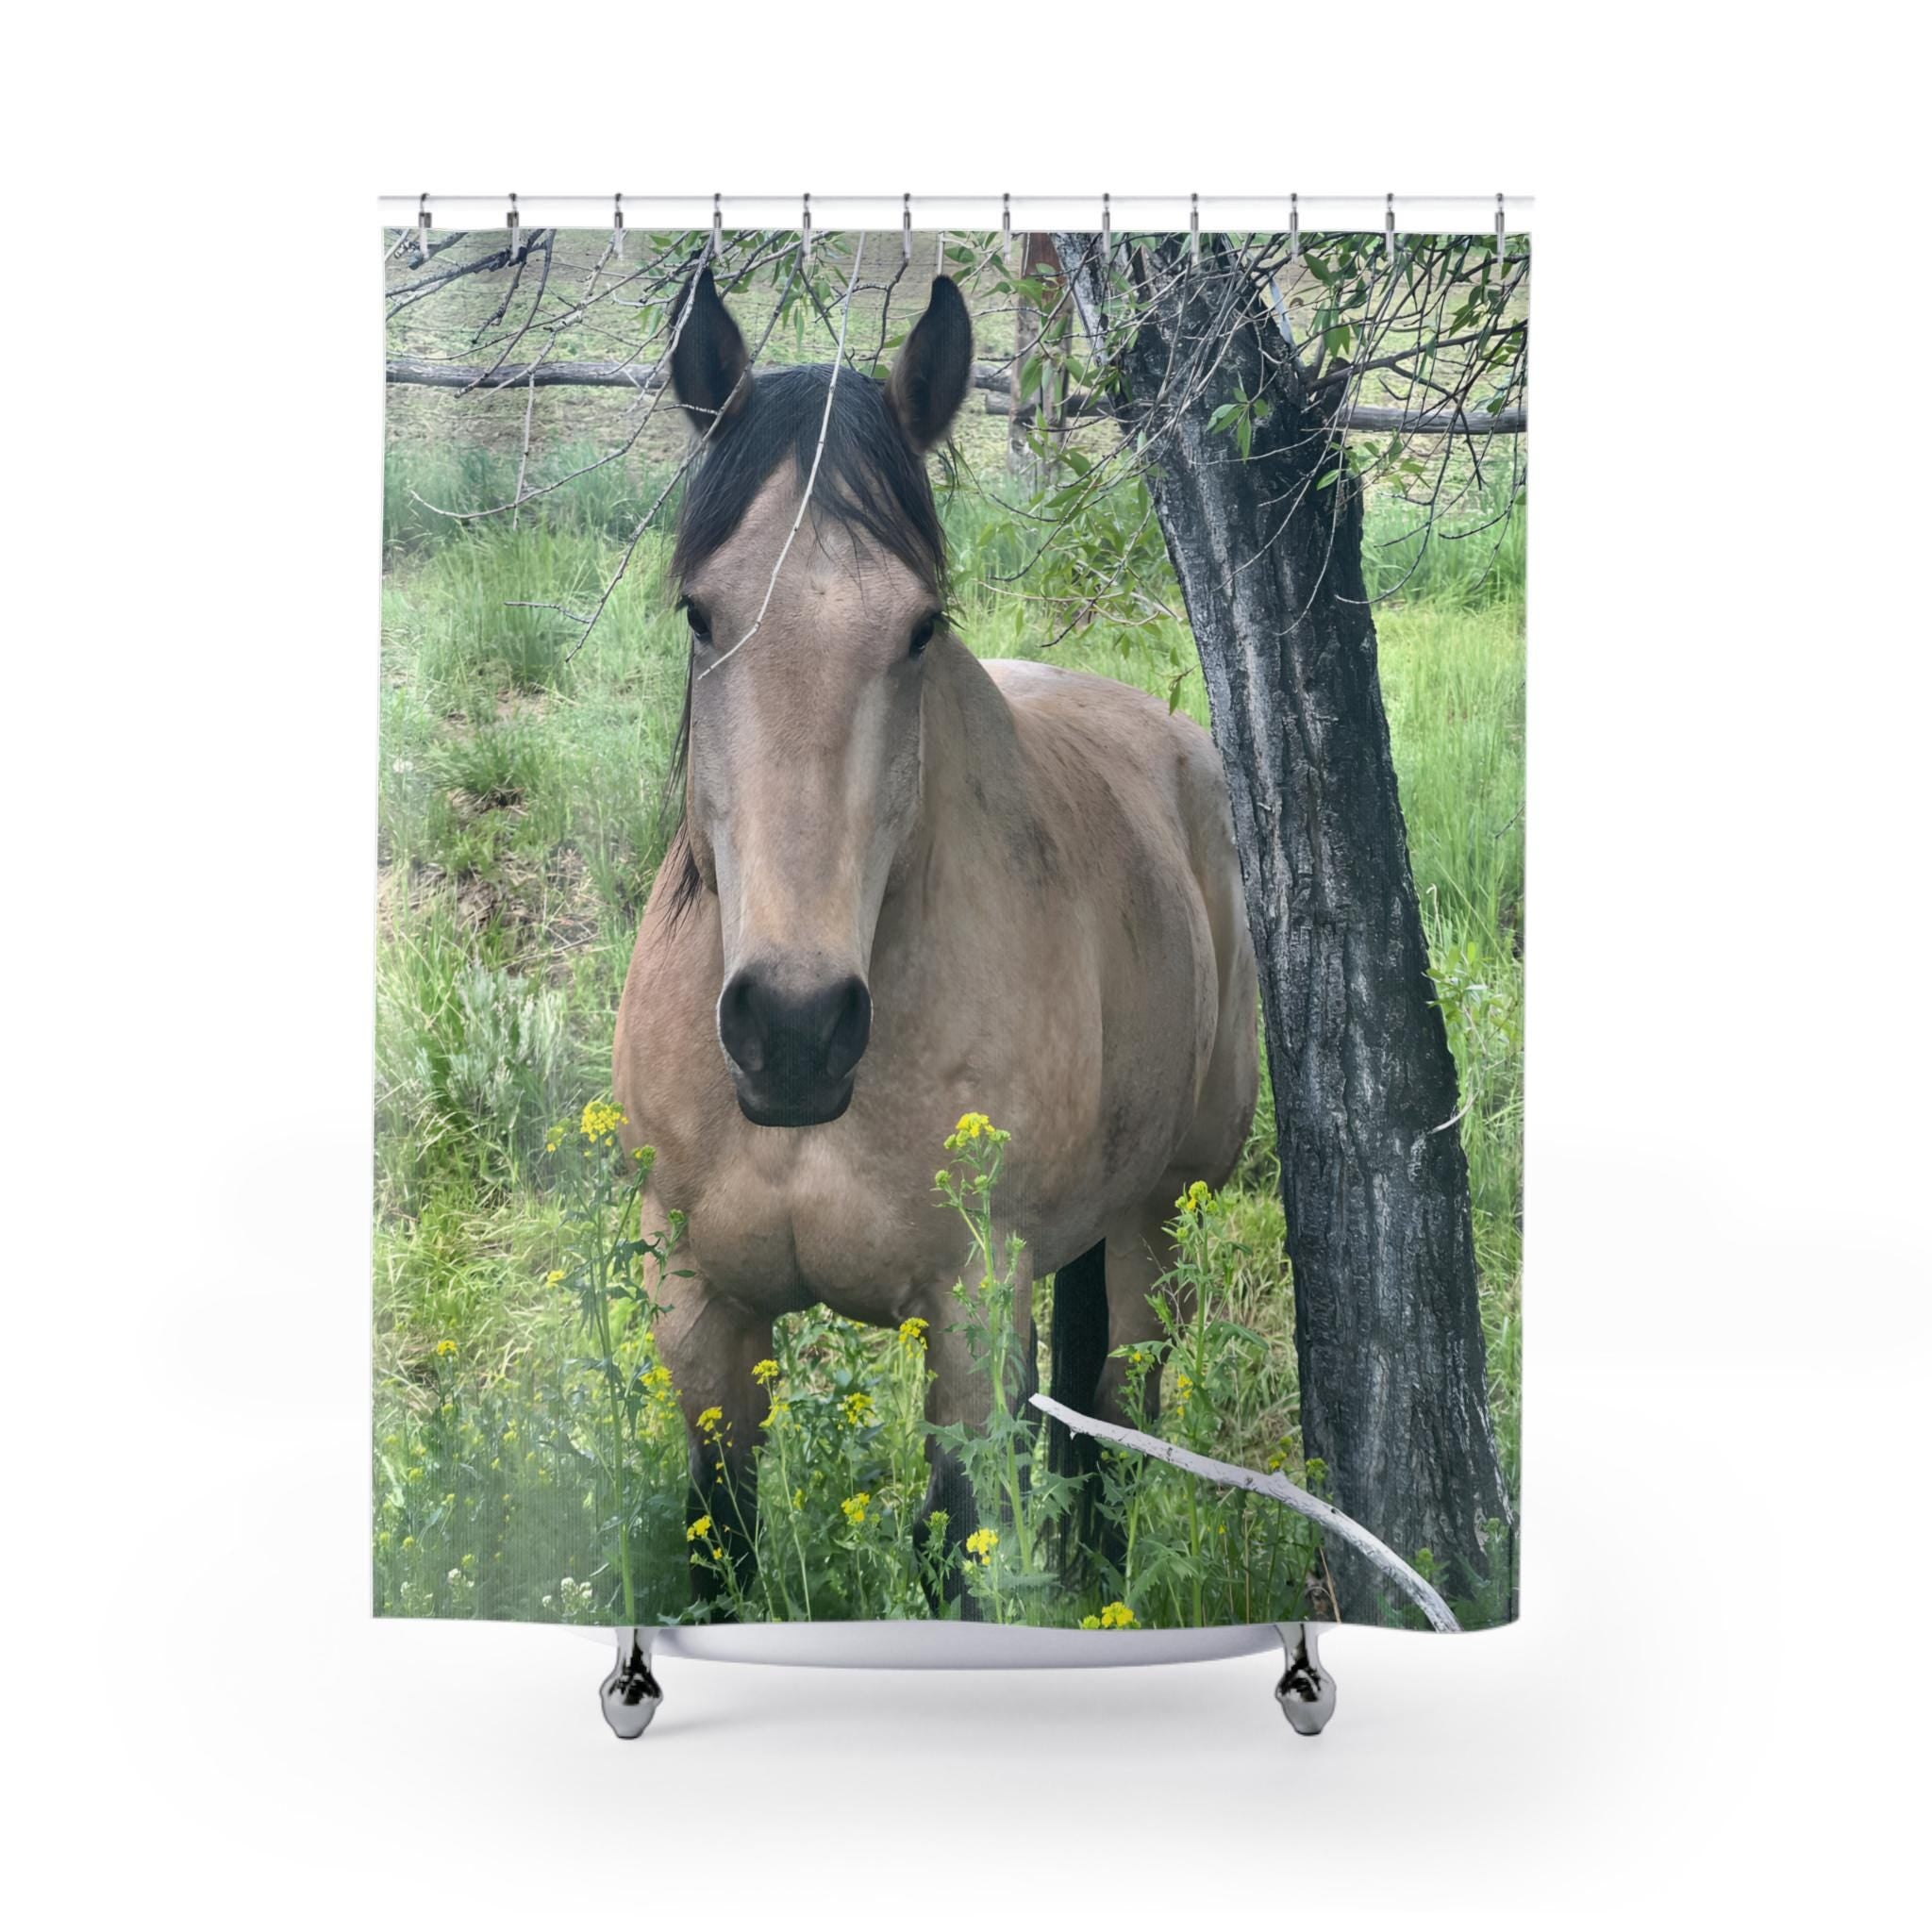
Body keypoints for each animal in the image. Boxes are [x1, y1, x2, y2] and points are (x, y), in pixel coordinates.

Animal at [614, 263, 1259, 1608]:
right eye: (699, 613)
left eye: (918, 626)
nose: (793, 1027)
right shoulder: (697, 1317)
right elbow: (718, 1542)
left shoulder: (971, 1322)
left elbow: (972, 1549)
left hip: (1158, 1224)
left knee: (1112, 1433)